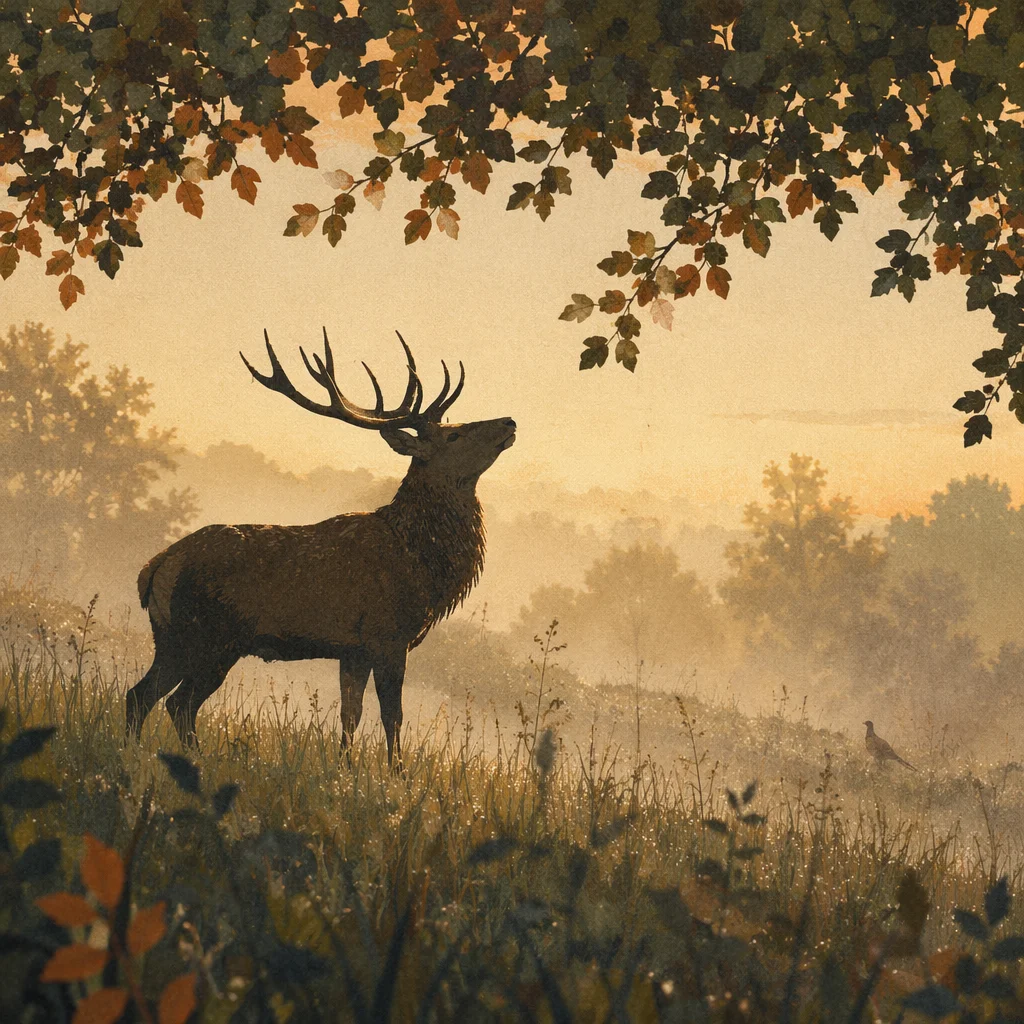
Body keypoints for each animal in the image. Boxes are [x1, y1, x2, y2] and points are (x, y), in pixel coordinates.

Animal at [125, 329, 516, 766]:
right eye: (454, 434)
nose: (509, 420)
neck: (422, 561)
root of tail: (154, 568)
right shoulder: (389, 635)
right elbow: (392, 717)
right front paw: (396, 773)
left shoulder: (353, 649)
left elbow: (351, 714)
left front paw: (346, 769)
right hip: (212, 635)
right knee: (178, 703)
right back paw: (196, 760)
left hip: (170, 636)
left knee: (140, 695)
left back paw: (134, 754)